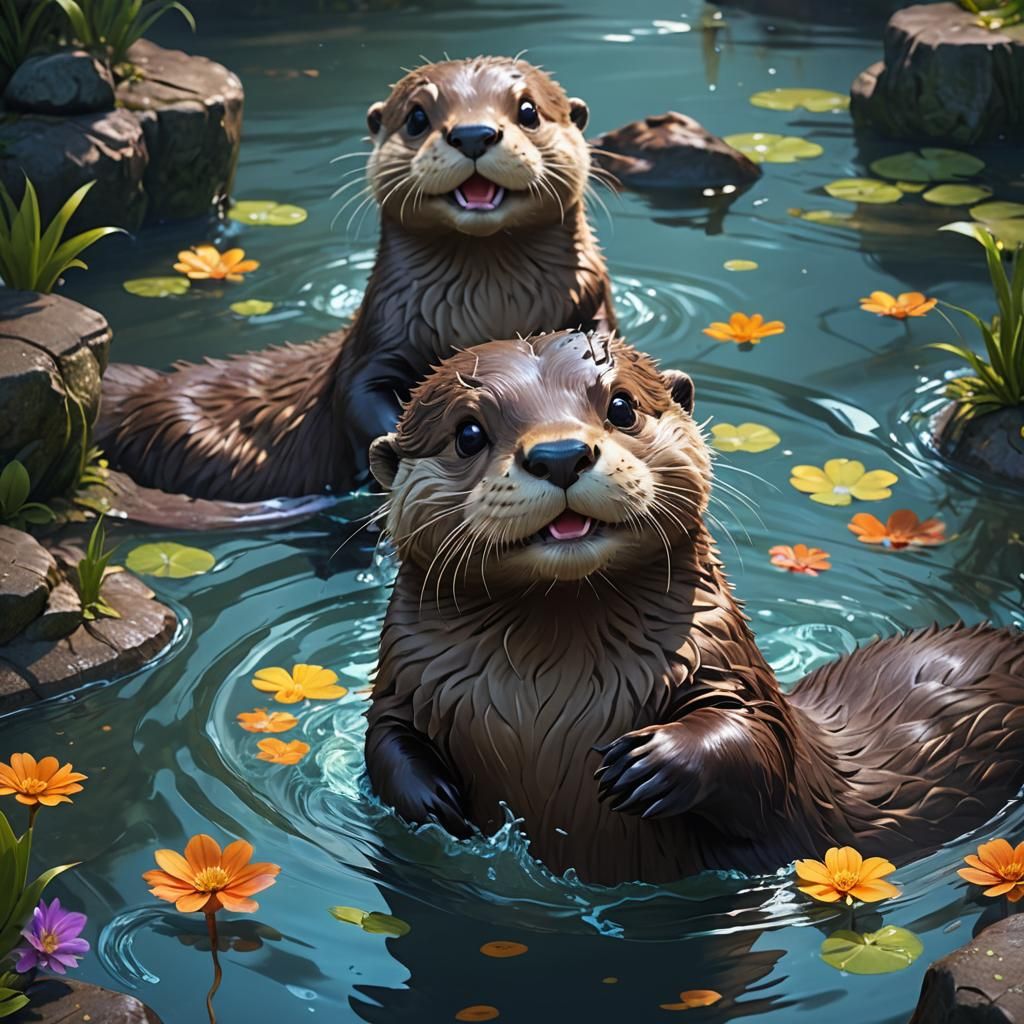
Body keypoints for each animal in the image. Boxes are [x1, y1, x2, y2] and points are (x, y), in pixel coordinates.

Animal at [98, 58, 613, 501]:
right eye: (417, 117)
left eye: (528, 110)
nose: (472, 133)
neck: (491, 310)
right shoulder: (375, 346)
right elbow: (360, 400)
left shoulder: (592, 312)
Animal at [364, 330, 1024, 886]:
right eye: (468, 433)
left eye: (622, 406)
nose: (559, 454)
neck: (548, 688)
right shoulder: (402, 680)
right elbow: (384, 741)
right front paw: (433, 799)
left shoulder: (725, 664)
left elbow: (759, 745)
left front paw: (649, 763)